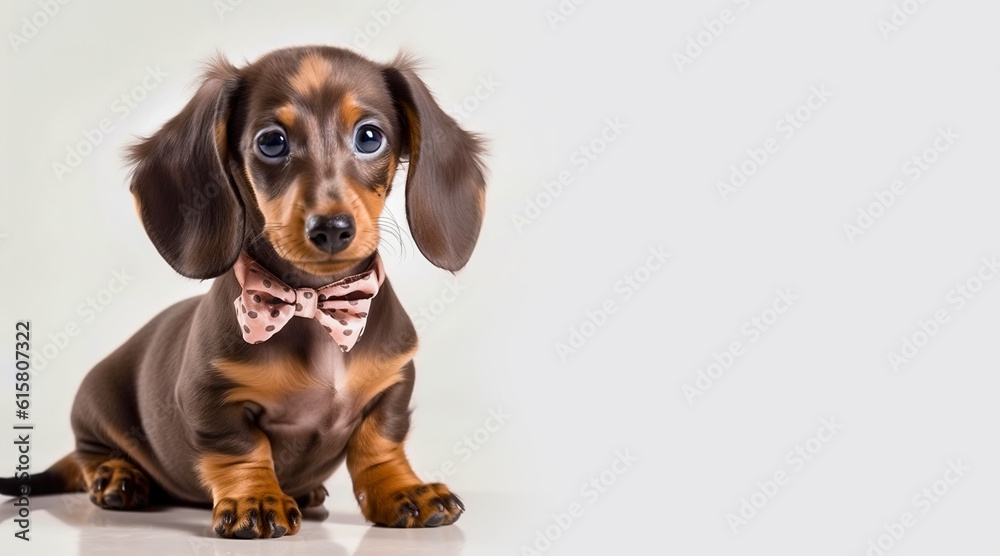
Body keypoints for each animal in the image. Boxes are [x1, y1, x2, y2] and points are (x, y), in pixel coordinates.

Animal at [0, 45, 484, 540]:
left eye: (370, 137)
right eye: (272, 142)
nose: (331, 228)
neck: (312, 303)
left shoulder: (393, 382)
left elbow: (381, 443)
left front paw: (402, 491)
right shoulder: (211, 394)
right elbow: (241, 448)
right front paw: (257, 499)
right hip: (95, 407)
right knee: (89, 456)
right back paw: (117, 476)